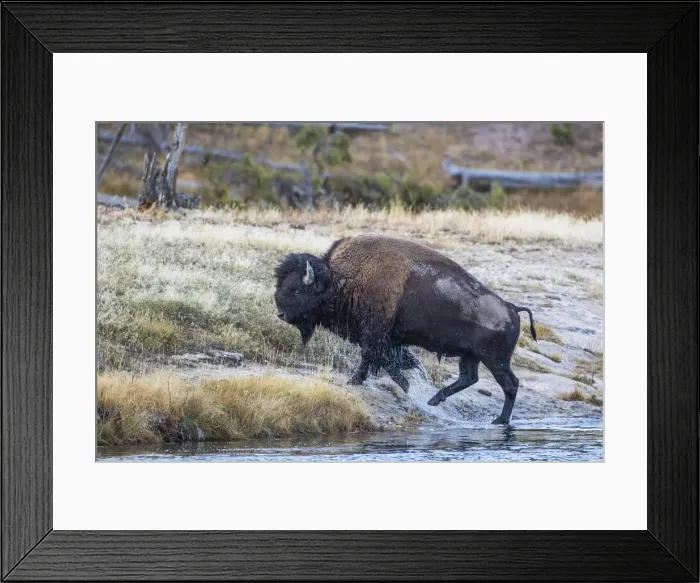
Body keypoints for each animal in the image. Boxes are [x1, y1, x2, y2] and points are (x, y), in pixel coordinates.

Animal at [273, 234, 537, 425]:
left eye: (296, 290)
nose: (281, 314)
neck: (339, 278)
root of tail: (512, 308)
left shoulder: (375, 334)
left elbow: (375, 358)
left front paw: (359, 381)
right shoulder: (383, 338)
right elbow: (386, 361)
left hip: (494, 359)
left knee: (510, 384)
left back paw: (499, 421)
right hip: (470, 356)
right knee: (469, 378)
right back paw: (434, 401)